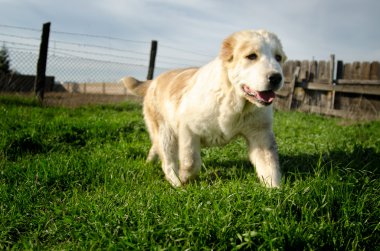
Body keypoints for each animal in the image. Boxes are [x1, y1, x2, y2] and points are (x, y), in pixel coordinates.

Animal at [123, 29, 286, 187]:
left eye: (278, 57)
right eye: (251, 56)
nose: (276, 77)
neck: (232, 98)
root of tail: (153, 81)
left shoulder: (261, 134)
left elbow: (269, 165)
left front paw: (275, 191)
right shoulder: (188, 129)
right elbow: (191, 162)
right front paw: (185, 180)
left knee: (156, 147)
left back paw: (149, 162)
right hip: (166, 133)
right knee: (167, 161)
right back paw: (176, 183)